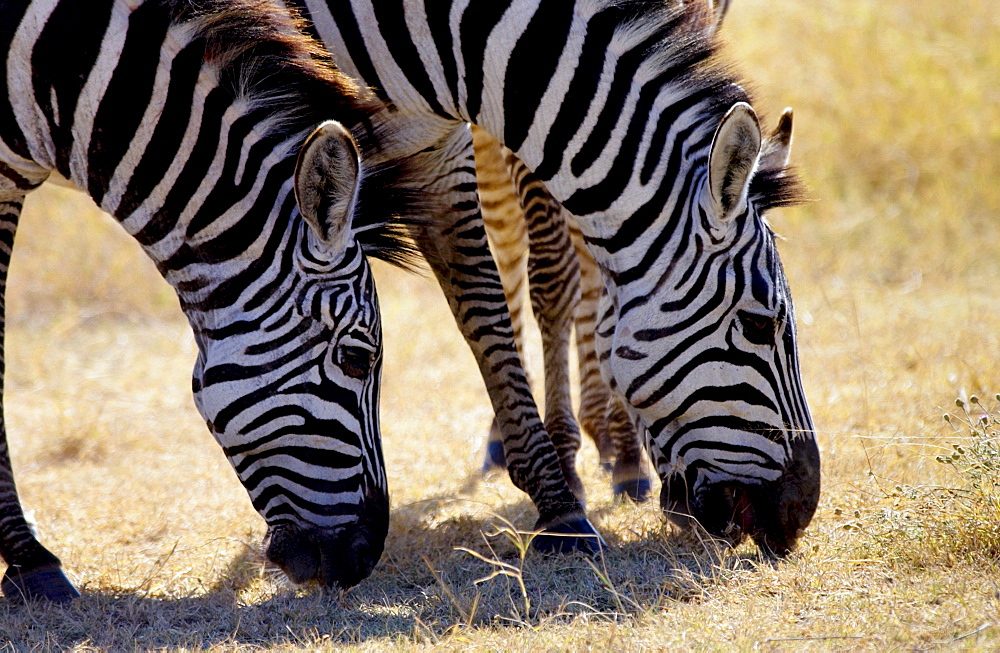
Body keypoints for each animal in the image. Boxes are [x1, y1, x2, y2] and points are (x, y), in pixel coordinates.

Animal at [284, 0, 820, 556]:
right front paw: (563, 466)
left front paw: (596, 465)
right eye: (759, 325)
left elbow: (542, 289)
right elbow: (546, 280)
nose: (799, 513)